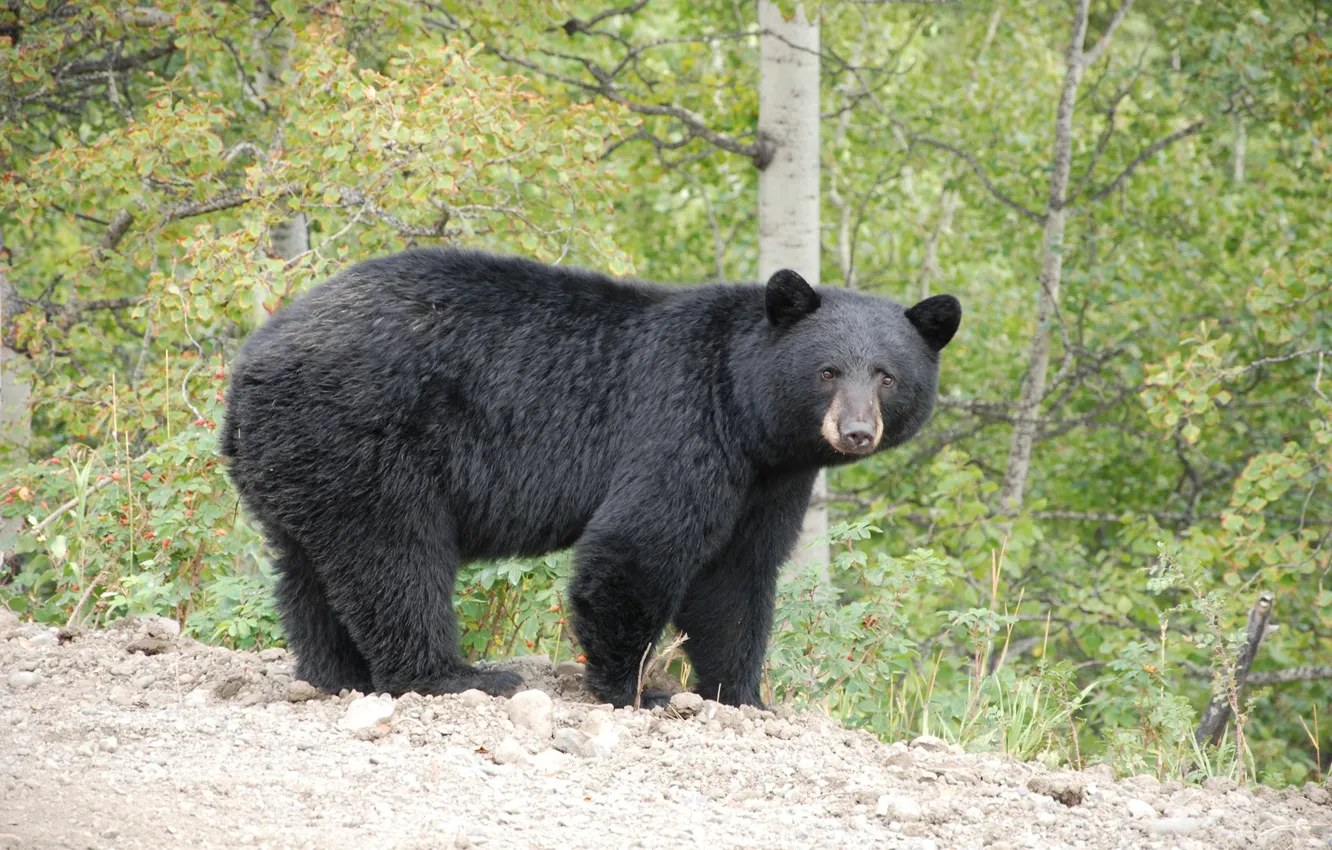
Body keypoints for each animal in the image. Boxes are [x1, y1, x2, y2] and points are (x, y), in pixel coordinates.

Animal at [220, 248, 960, 708]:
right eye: (828, 371)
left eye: (887, 376)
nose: (856, 431)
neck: (747, 411)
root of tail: (250, 364)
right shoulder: (681, 423)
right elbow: (638, 546)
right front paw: (636, 689)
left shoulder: (769, 479)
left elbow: (738, 576)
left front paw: (741, 694)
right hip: (365, 438)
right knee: (394, 558)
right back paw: (453, 676)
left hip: (301, 460)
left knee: (308, 570)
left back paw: (335, 673)